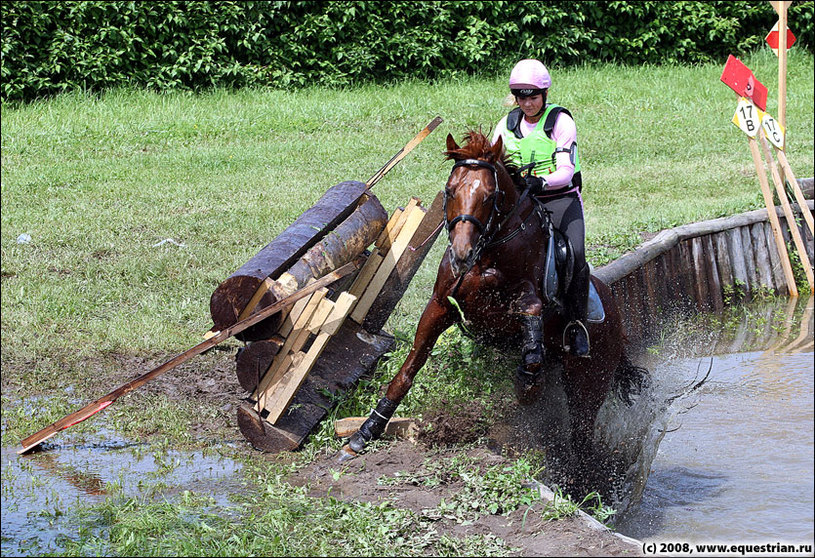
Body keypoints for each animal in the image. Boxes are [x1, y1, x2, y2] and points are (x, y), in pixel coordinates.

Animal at [342, 130, 644, 490]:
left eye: (489, 195)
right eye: (449, 190)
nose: (461, 253)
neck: (487, 253)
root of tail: (617, 320)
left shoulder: (520, 304)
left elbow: (530, 314)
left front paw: (527, 380)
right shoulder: (440, 306)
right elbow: (407, 371)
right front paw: (365, 432)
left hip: (589, 379)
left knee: (582, 434)